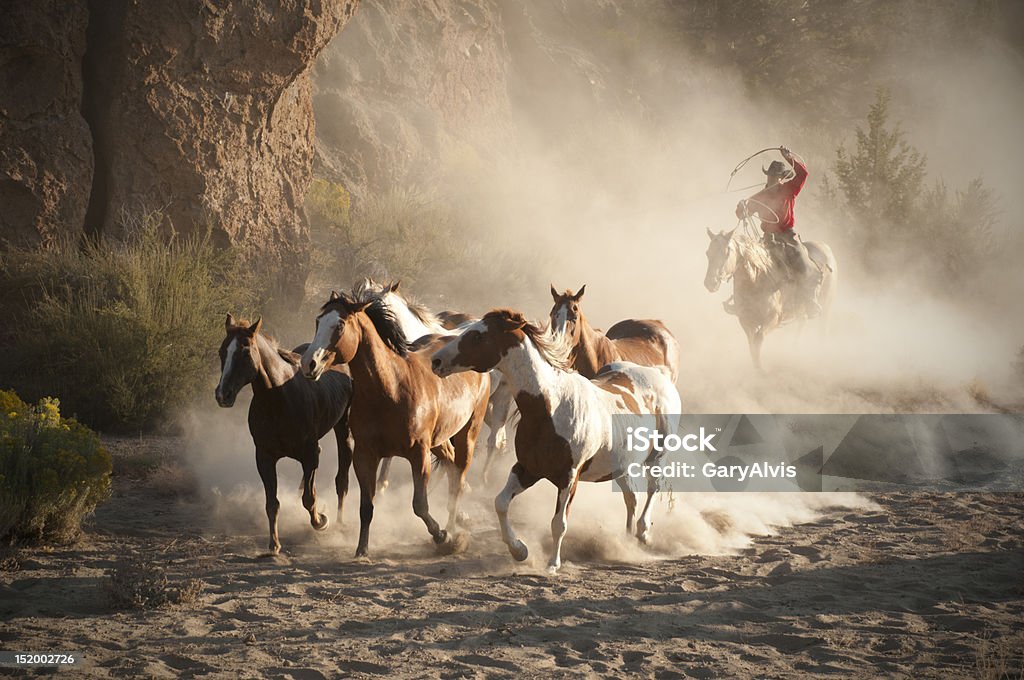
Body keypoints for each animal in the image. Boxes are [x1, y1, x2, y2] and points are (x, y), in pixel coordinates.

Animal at [214, 315, 354, 557]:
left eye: (244, 352)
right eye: (223, 351)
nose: (223, 395)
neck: (279, 397)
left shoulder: (308, 454)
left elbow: (309, 499)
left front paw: (321, 521)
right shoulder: (264, 457)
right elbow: (272, 503)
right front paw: (274, 545)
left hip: (343, 427)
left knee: (342, 479)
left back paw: (339, 523)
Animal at [299, 288, 487, 557]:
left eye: (339, 325)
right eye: (318, 322)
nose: (308, 363)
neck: (391, 388)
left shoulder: (418, 454)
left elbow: (419, 505)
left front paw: (441, 535)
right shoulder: (365, 456)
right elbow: (366, 507)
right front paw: (362, 550)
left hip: (468, 433)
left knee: (458, 480)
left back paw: (453, 533)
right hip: (439, 440)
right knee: (452, 468)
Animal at [430, 311, 679, 569]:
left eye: (478, 335)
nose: (435, 361)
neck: (550, 408)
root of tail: (659, 375)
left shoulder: (568, 477)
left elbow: (558, 523)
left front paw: (552, 564)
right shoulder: (527, 469)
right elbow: (500, 503)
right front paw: (519, 550)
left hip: (657, 456)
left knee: (652, 488)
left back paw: (643, 532)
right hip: (621, 466)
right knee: (632, 497)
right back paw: (627, 540)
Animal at [704, 227, 839, 366]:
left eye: (726, 253)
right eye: (708, 253)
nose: (710, 282)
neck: (757, 279)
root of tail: (825, 247)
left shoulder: (774, 318)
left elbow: (759, 339)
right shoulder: (745, 320)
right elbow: (752, 344)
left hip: (826, 306)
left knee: (822, 329)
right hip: (801, 311)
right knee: (802, 323)